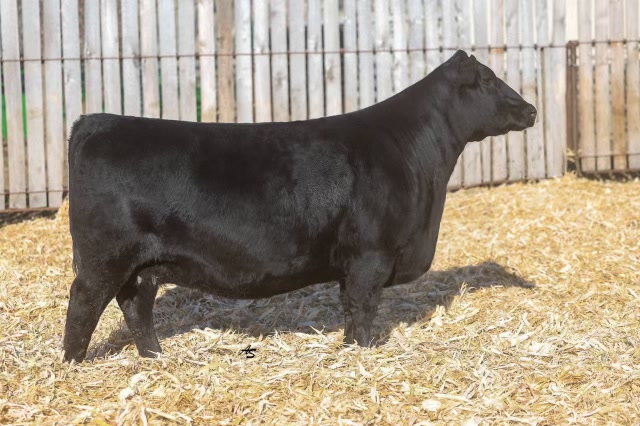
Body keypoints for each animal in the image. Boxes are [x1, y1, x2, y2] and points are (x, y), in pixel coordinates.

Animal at [63, 50, 536, 362]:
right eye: (488, 81)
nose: (531, 109)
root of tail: (93, 121)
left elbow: (353, 309)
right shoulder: (370, 256)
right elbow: (362, 309)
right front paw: (360, 352)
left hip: (142, 264)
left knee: (136, 306)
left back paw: (155, 356)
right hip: (104, 257)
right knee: (84, 303)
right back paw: (72, 363)